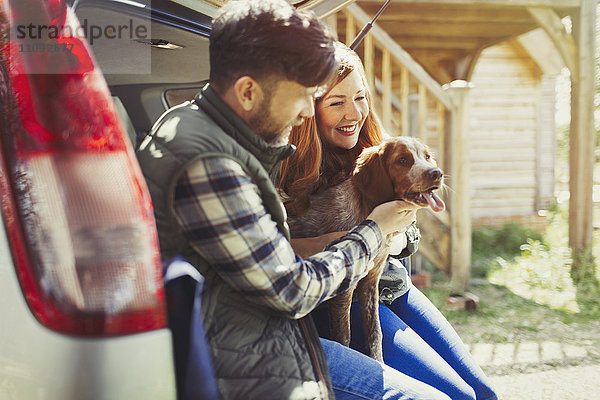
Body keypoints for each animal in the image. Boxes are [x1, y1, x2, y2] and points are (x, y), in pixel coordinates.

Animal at [288, 136, 448, 360]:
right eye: (402, 160)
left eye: (426, 157)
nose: (436, 173)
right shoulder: (344, 288)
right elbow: (344, 336)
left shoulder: (370, 282)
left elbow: (375, 333)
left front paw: (378, 361)